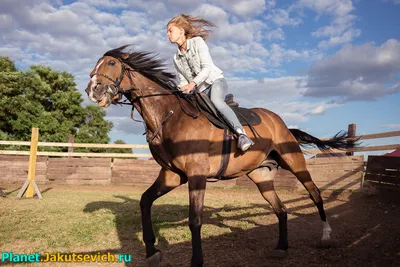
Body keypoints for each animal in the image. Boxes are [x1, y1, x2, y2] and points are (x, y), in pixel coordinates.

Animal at [85, 46, 354, 267]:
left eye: (111, 63)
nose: (92, 90)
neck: (170, 116)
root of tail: (281, 123)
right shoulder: (172, 175)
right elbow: (144, 201)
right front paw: (152, 251)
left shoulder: (196, 175)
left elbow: (195, 220)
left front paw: (196, 261)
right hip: (262, 177)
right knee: (281, 209)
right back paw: (281, 247)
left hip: (295, 163)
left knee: (315, 194)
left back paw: (326, 236)